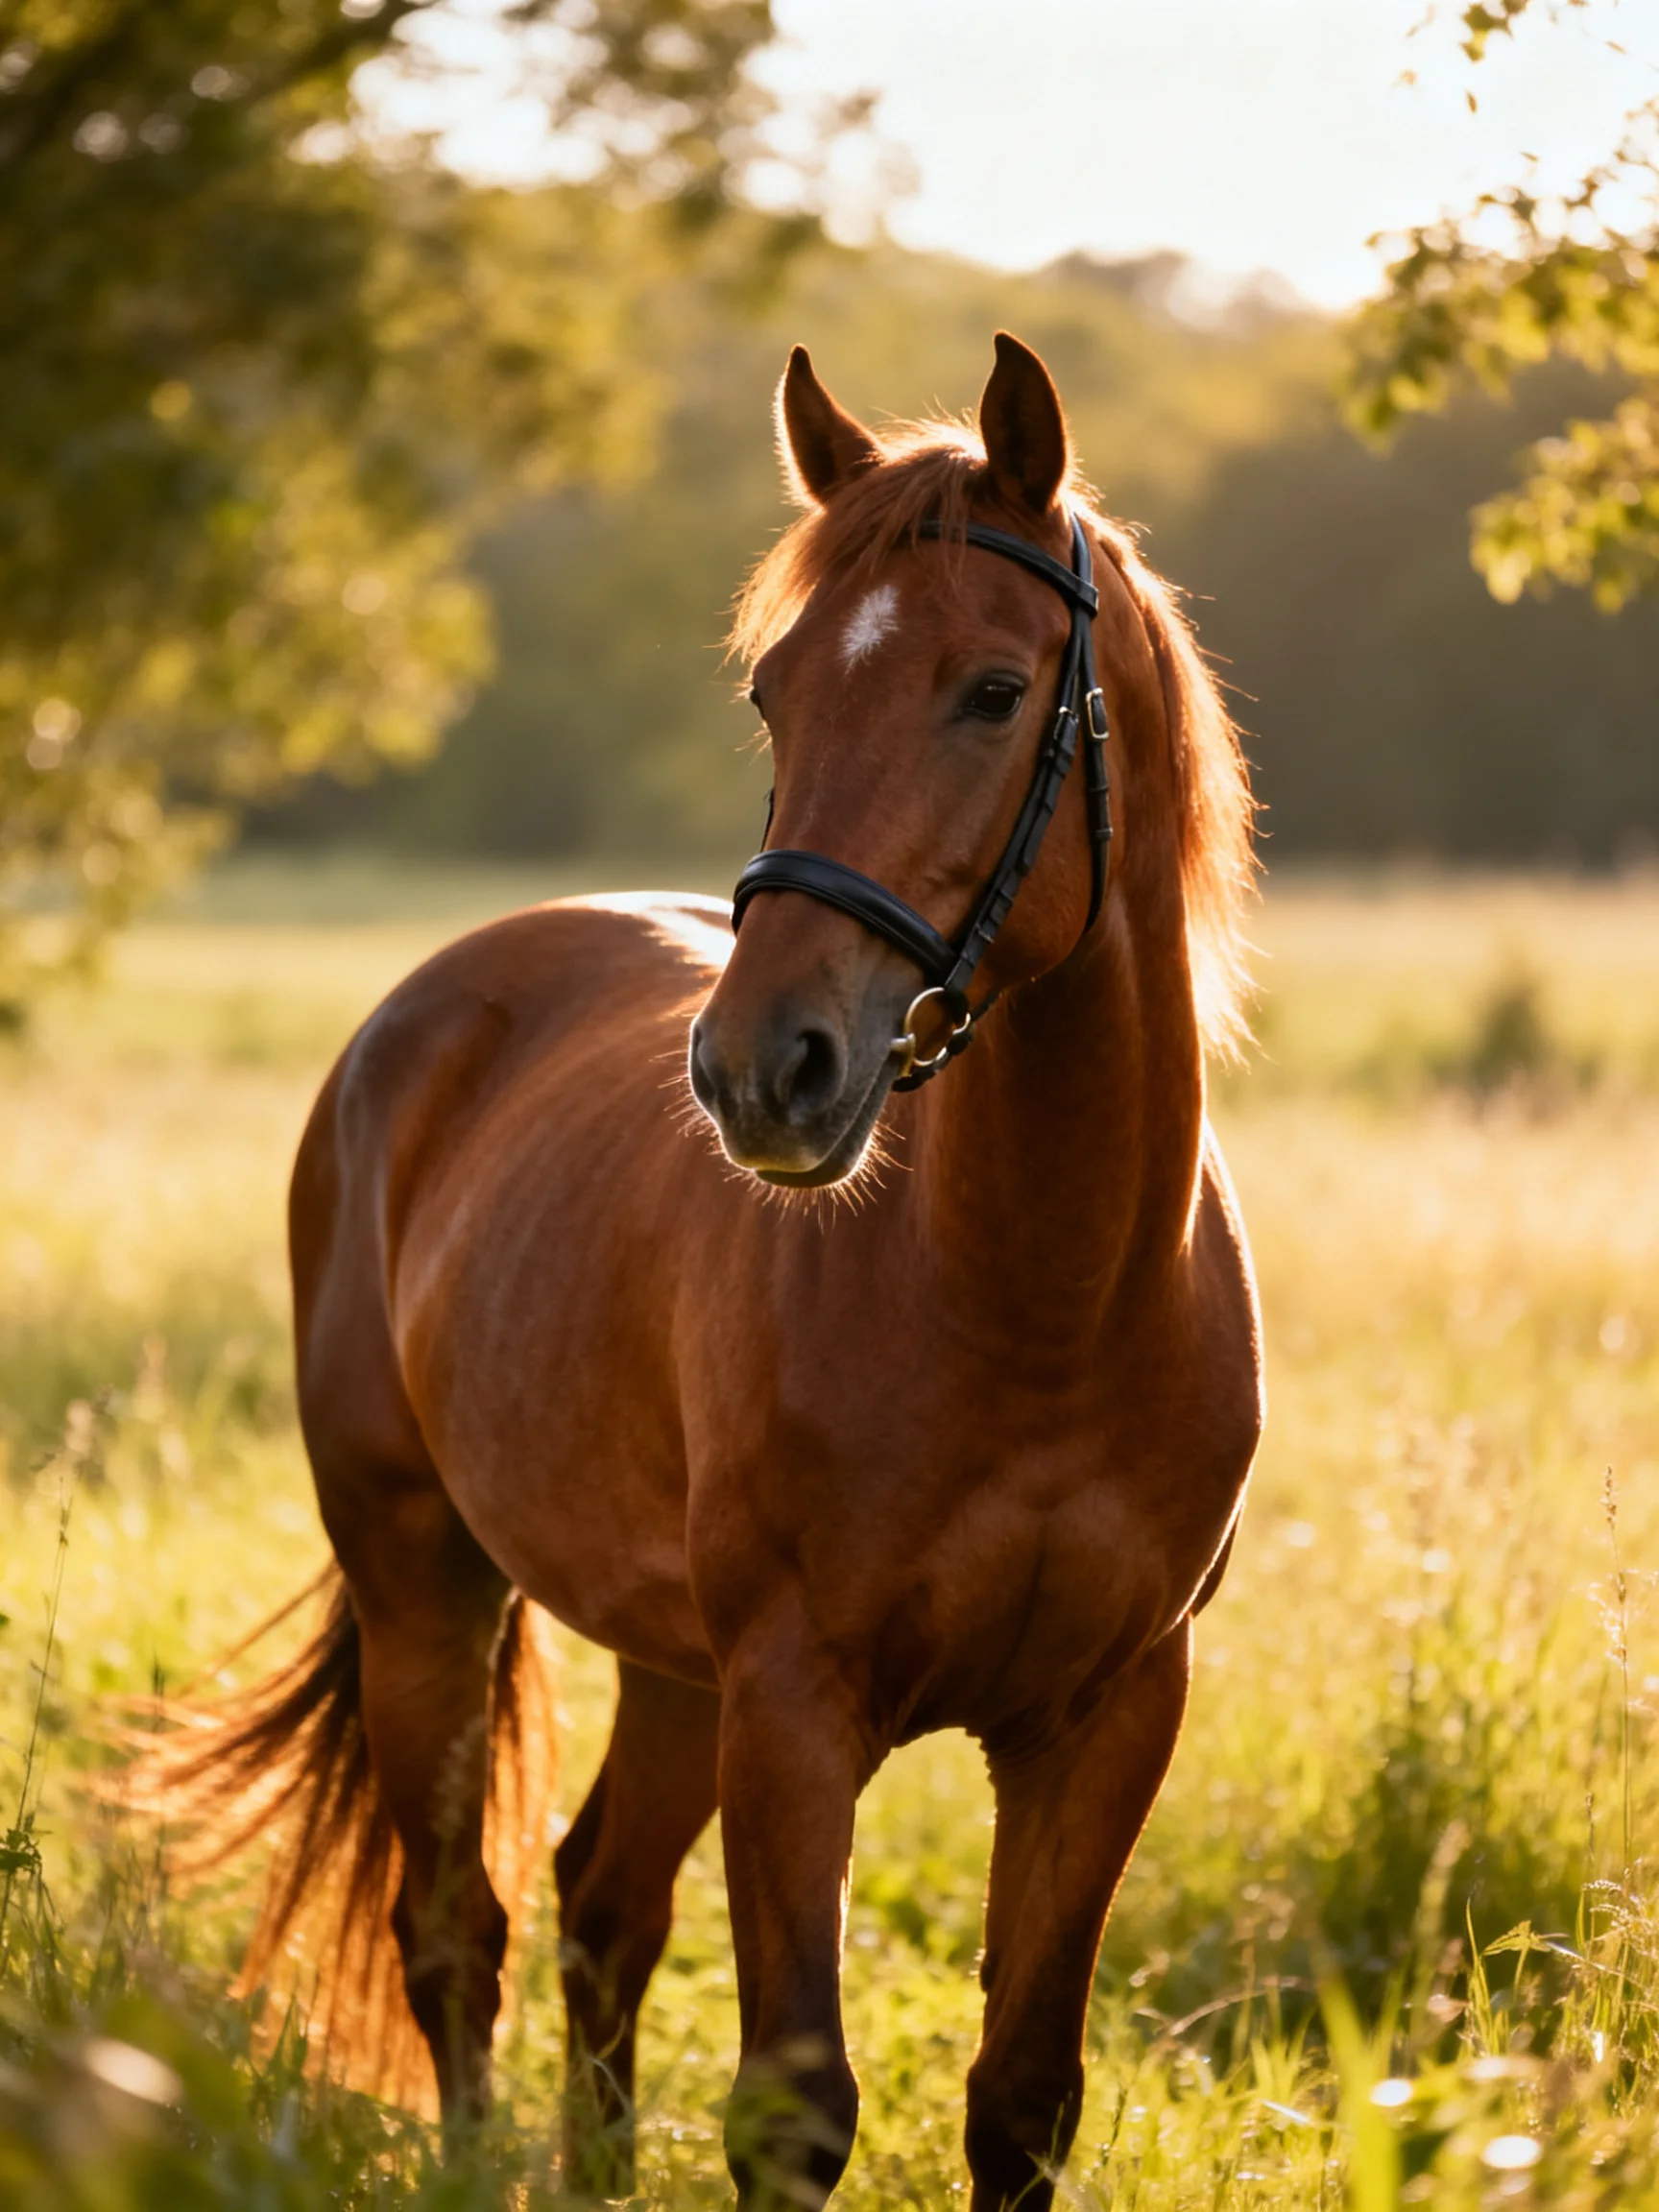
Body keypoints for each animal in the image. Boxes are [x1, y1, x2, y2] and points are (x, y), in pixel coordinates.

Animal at [150, 332, 1263, 2212]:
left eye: (990, 689)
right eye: (774, 695)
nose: (761, 1069)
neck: (1044, 1307)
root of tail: (427, 1012)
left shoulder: (1105, 1717)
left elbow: (1021, 2098)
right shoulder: (796, 1710)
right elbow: (790, 2102)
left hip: (670, 1662)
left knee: (601, 1906)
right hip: (425, 1579)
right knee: (459, 1926)